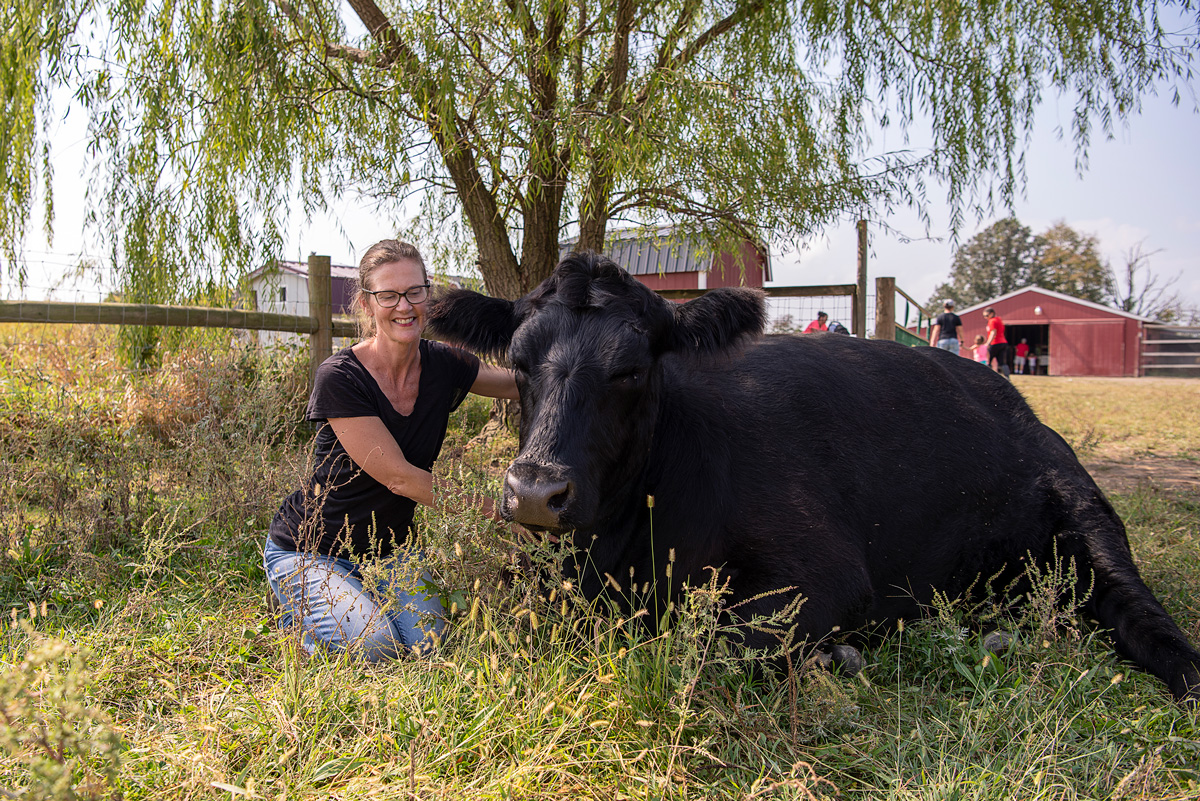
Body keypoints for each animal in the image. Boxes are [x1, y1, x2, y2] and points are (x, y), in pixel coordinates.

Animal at [432, 253, 1200, 705]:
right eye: (519, 360)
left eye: (630, 368)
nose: (536, 490)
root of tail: (1011, 400)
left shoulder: (822, 572)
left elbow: (709, 644)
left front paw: (840, 656)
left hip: (1085, 510)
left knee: (1136, 611)